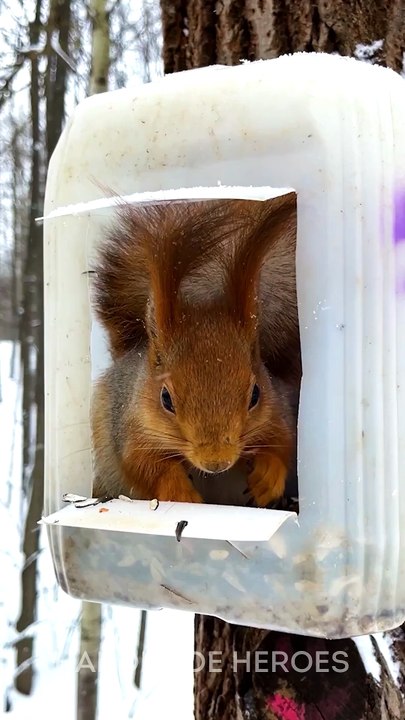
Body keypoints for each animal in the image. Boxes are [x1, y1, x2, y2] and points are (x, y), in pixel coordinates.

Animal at [91, 193, 301, 506]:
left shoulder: (277, 411)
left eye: (255, 394)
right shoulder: (129, 426)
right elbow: (145, 465)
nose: (216, 462)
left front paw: (268, 477)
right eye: (165, 398)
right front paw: (180, 493)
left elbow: (282, 444)